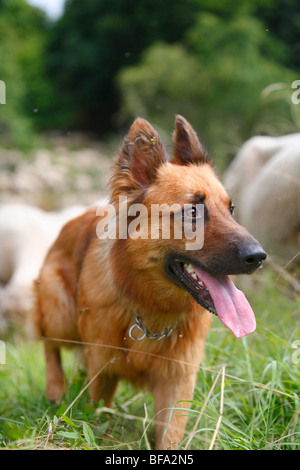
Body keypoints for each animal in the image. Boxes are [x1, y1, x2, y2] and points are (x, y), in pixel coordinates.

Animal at [34, 115, 266, 450]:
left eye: (231, 209)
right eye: (192, 212)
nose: (259, 257)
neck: (151, 307)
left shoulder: (177, 383)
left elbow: (169, 435)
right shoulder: (102, 372)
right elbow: (99, 420)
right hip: (59, 315)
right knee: (48, 343)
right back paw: (55, 388)